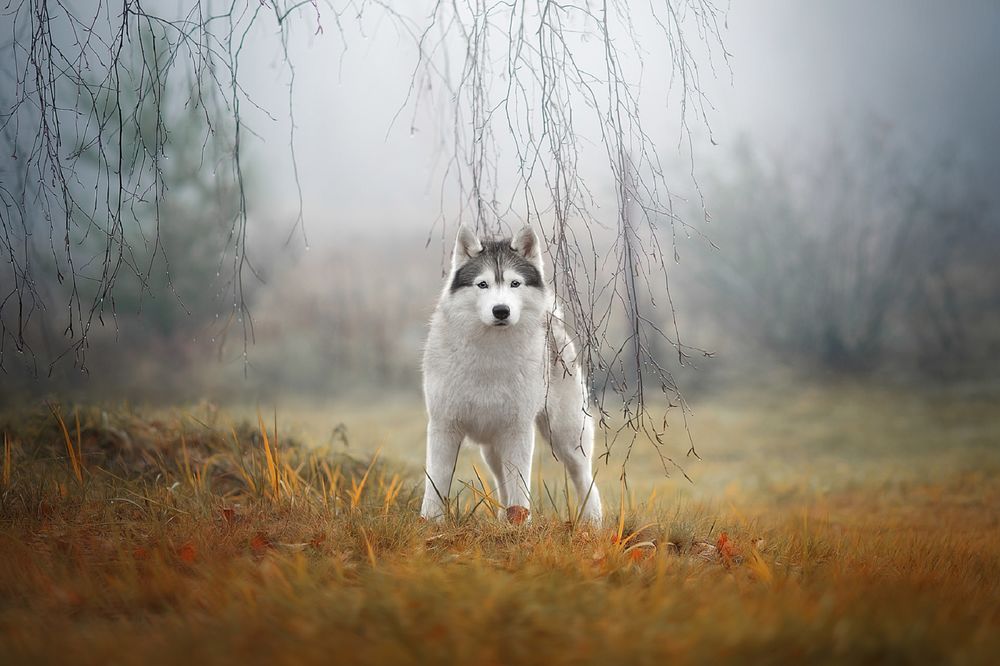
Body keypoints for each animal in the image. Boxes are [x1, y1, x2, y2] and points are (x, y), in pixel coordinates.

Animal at [420, 226, 600, 520]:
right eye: (482, 284)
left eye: (515, 283)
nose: (501, 310)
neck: (490, 353)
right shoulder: (444, 426)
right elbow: (436, 483)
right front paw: (431, 522)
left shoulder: (517, 431)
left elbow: (519, 485)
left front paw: (521, 524)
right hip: (492, 450)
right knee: (501, 481)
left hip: (566, 438)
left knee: (585, 479)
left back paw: (594, 522)